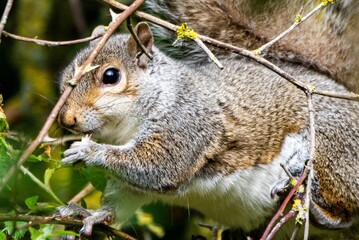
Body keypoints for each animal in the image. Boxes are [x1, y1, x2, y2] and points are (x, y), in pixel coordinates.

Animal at [55, 0, 359, 239]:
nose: (65, 119)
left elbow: (159, 165)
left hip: (330, 151)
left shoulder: (186, 124)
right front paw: (90, 214)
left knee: (346, 209)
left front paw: (88, 151)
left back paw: (318, 211)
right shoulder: (128, 187)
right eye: (69, 73)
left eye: (111, 76)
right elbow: (120, 202)